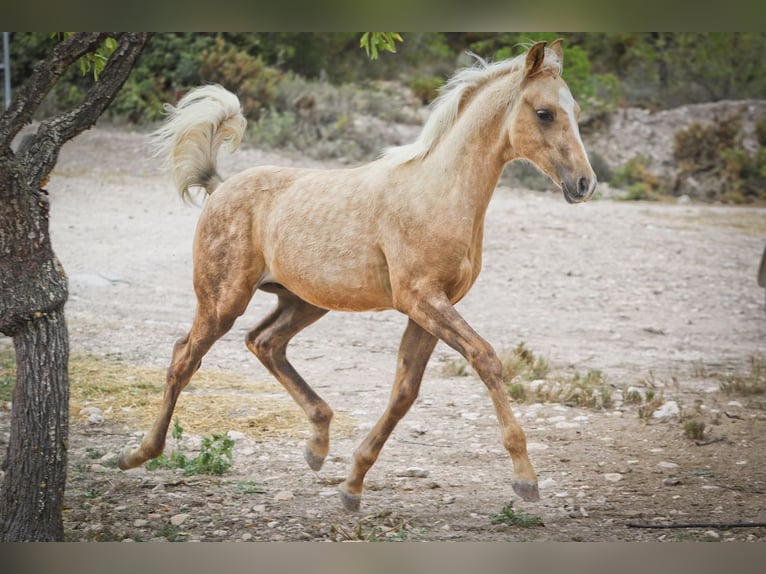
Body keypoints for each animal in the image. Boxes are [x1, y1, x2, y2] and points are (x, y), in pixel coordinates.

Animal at [118, 40, 600, 512]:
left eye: (576, 112)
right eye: (544, 113)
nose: (584, 184)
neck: (438, 192)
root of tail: (220, 187)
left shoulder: (430, 308)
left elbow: (405, 391)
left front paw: (352, 485)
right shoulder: (422, 299)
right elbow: (485, 359)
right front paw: (525, 479)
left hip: (303, 301)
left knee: (264, 342)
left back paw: (317, 445)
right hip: (223, 300)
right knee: (185, 357)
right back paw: (138, 453)